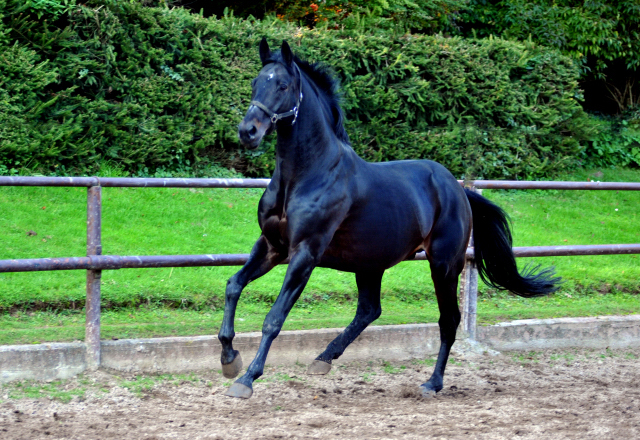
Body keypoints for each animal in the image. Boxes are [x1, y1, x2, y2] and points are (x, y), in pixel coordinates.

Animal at [220, 40, 560, 398]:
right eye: (256, 83)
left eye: (282, 86)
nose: (248, 131)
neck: (304, 176)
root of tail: (458, 189)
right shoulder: (272, 246)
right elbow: (233, 285)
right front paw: (230, 360)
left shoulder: (305, 253)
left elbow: (274, 318)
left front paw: (246, 379)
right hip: (370, 263)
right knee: (370, 310)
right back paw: (324, 358)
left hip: (443, 264)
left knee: (448, 320)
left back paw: (432, 383)